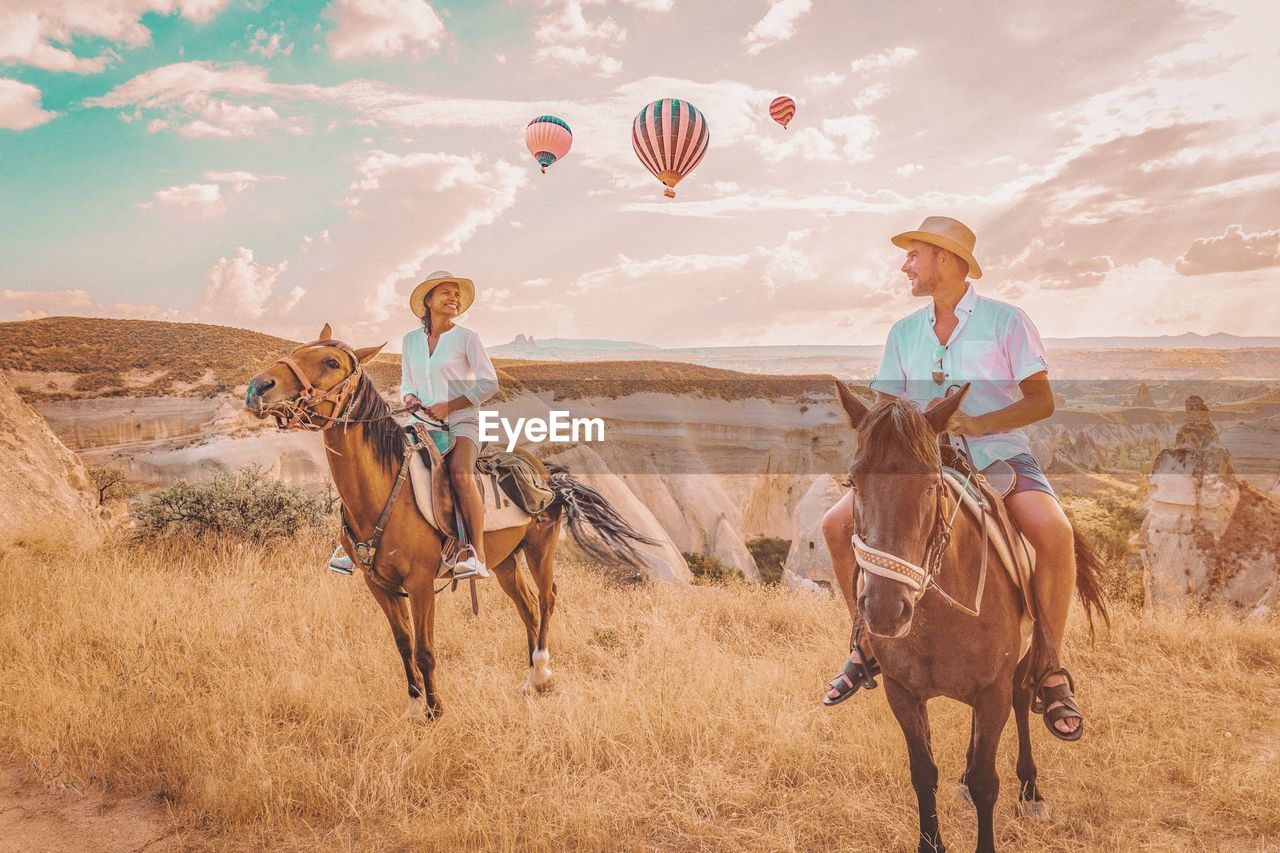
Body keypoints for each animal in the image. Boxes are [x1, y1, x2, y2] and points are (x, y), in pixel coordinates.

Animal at [244, 327, 655, 712]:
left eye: (331, 362)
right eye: (297, 350)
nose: (258, 387)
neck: (381, 490)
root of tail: (546, 473)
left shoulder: (421, 583)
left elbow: (425, 650)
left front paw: (435, 710)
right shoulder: (378, 585)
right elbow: (403, 643)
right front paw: (414, 706)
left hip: (540, 549)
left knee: (546, 598)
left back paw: (540, 672)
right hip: (504, 562)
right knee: (526, 605)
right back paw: (528, 680)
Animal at [834, 379, 1105, 850]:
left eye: (931, 485)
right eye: (853, 481)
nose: (885, 611)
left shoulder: (991, 691)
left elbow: (985, 781)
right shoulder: (902, 692)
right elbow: (923, 773)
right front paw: (931, 841)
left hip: (1022, 662)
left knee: (1022, 699)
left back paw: (1031, 787)